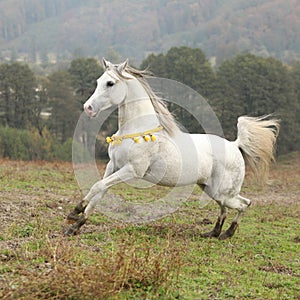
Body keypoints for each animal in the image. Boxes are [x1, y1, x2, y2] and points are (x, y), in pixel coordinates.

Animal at [65, 59, 278, 240]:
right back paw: (213, 232)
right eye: (98, 81)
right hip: (211, 189)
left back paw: (227, 233)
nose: (88, 108)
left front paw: (74, 212)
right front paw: (75, 225)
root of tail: (234, 145)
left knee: (244, 204)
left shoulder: (132, 170)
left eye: (110, 83)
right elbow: (99, 191)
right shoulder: (113, 166)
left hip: (223, 192)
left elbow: (97, 186)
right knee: (226, 208)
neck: (136, 130)